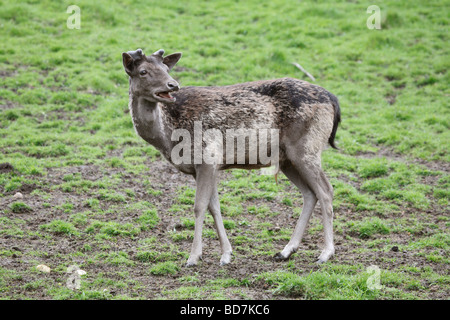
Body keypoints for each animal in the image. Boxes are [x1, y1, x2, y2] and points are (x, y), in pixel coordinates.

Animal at [121, 48, 340, 268]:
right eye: (143, 71)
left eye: (166, 68)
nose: (172, 84)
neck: (168, 137)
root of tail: (333, 99)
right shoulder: (204, 167)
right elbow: (214, 207)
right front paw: (226, 254)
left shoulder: (207, 157)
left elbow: (199, 207)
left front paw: (193, 257)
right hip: (288, 159)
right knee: (310, 193)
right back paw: (286, 251)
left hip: (306, 148)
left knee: (326, 190)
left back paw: (325, 253)